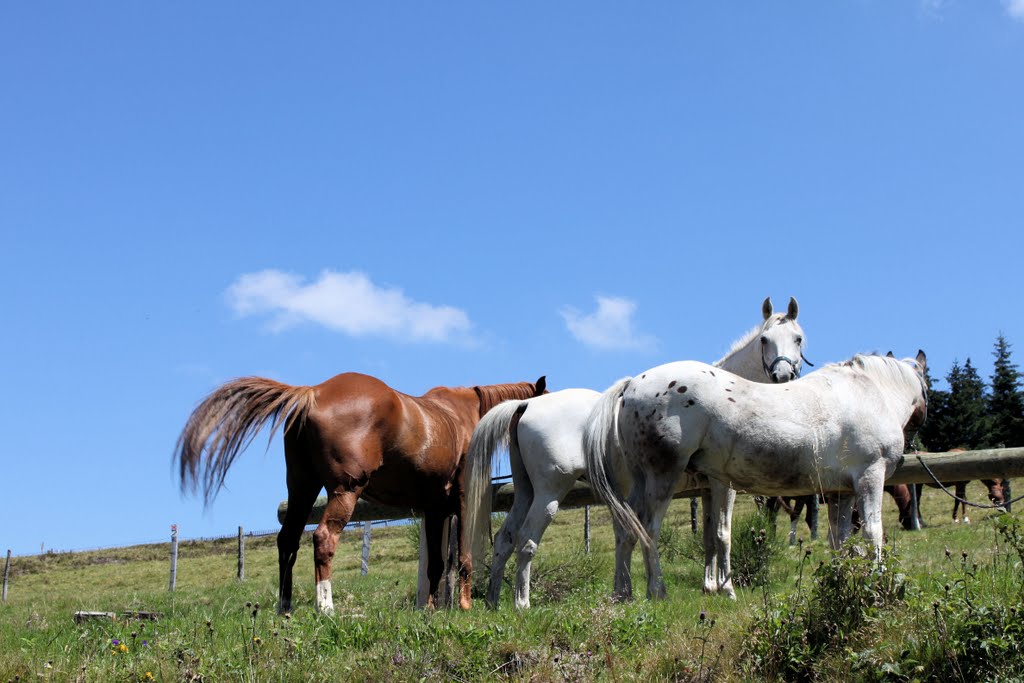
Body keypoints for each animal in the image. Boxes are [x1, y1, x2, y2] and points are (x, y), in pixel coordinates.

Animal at [176, 374, 544, 614]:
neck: (465, 416)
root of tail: (312, 393)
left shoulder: (434, 509)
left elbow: (436, 565)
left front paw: (429, 609)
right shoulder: (463, 501)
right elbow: (464, 556)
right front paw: (464, 605)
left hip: (302, 489)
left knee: (288, 541)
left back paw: (285, 607)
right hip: (345, 492)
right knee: (322, 539)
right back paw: (325, 607)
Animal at [464, 296, 806, 606]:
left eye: (798, 338)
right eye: (765, 340)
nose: (783, 376)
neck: (721, 398)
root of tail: (525, 404)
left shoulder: (705, 490)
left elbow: (707, 536)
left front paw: (709, 586)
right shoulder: (724, 486)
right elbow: (723, 534)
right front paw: (728, 590)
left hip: (526, 491)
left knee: (505, 539)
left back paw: (494, 601)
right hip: (550, 493)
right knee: (527, 541)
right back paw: (522, 603)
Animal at [585, 352, 929, 602]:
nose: (917, 431)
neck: (869, 393)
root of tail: (631, 385)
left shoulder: (839, 493)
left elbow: (840, 541)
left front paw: (842, 579)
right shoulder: (870, 477)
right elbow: (873, 532)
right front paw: (878, 581)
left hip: (641, 482)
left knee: (626, 530)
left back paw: (623, 593)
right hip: (663, 478)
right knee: (648, 530)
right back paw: (657, 591)